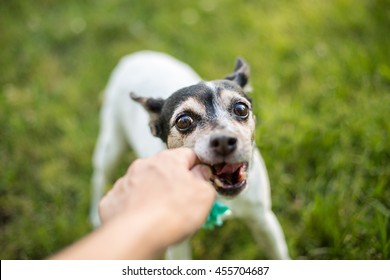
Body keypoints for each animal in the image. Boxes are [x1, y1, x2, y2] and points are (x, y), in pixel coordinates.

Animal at [90, 49, 288, 258]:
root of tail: (134, 56)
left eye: (241, 109)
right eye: (183, 121)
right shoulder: (177, 245)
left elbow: (279, 255)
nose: (223, 141)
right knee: (99, 177)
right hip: (112, 145)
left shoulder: (263, 220)